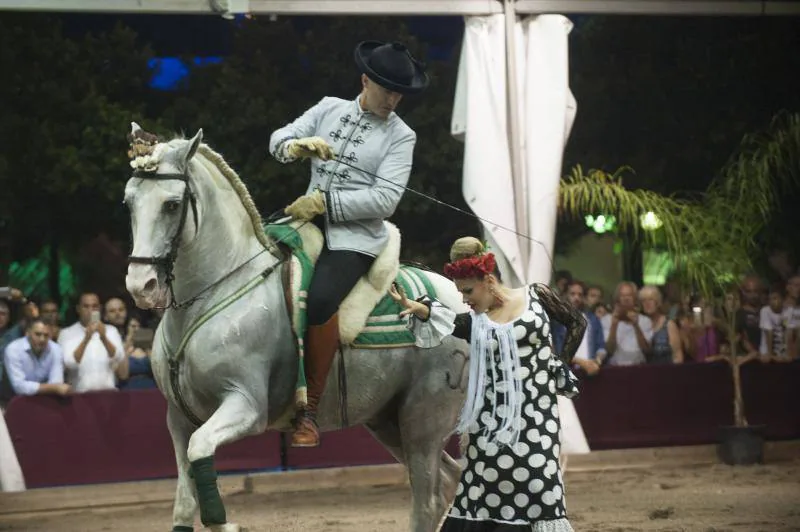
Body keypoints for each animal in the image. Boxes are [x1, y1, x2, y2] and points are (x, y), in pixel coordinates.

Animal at [124, 128, 468, 532]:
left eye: (172, 205)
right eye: (129, 202)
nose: (141, 286)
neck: (215, 292)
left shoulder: (246, 406)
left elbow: (202, 452)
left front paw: (227, 524)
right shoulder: (178, 419)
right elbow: (183, 501)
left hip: (423, 421)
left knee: (427, 500)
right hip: (387, 421)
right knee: (448, 479)